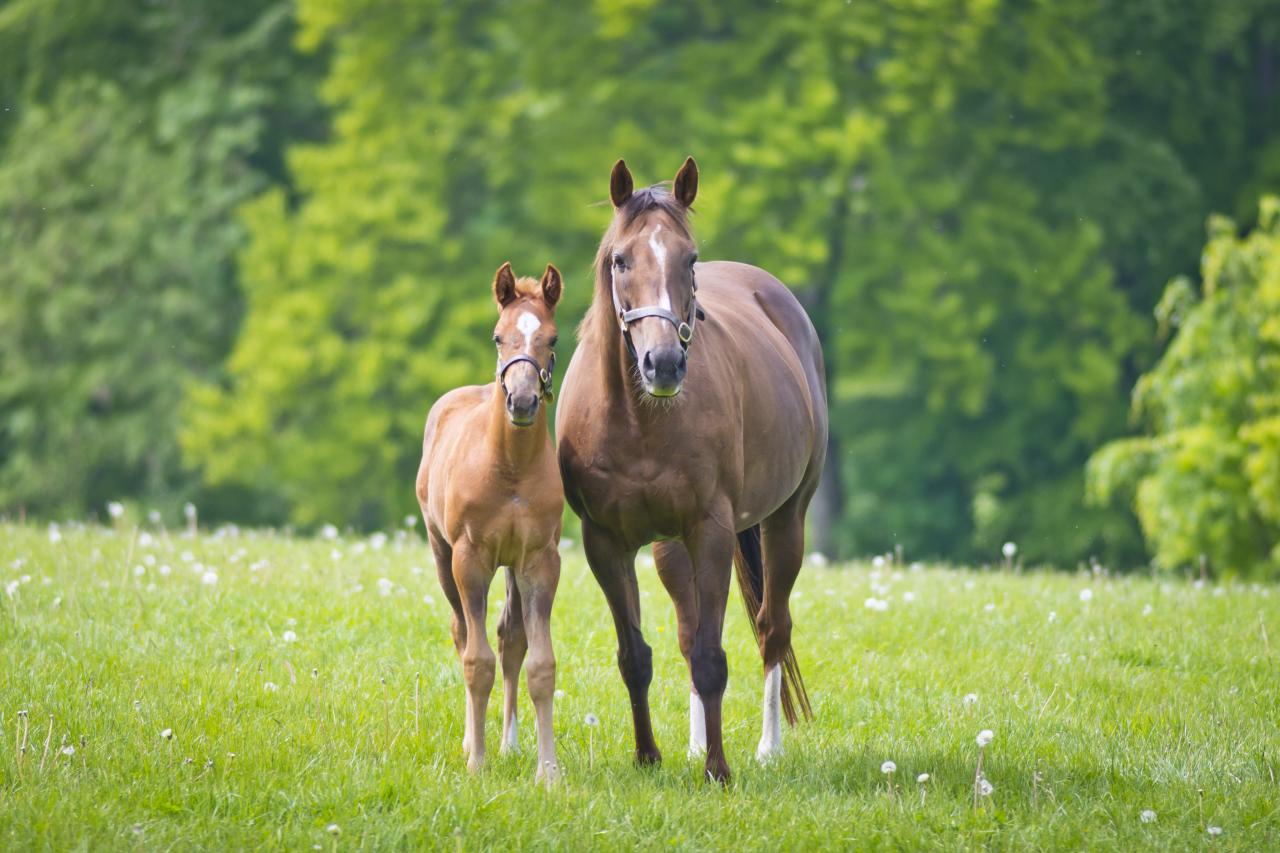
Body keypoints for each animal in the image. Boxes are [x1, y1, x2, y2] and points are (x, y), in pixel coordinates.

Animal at [416, 262, 565, 783]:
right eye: (498, 336)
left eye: (552, 339)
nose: (521, 401)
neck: (510, 467)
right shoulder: (471, 557)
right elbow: (475, 660)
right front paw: (476, 764)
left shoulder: (540, 560)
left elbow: (539, 663)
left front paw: (548, 771)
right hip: (442, 554)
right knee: (463, 633)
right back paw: (471, 742)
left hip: (512, 568)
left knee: (510, 641)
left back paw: (509, 743)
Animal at [555, 158, 828, 782]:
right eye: (620, 260)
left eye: (690, 258)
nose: (663, 363)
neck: (640, 421)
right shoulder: (605, 542)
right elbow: (637, 655)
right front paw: (648, 756)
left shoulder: (712, 531)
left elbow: (711, 657)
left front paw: (718, 771)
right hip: (669, 548)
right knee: (686, 632)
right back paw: (692, 744)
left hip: (786, 521)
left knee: (772, 629)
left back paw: (766, 749)